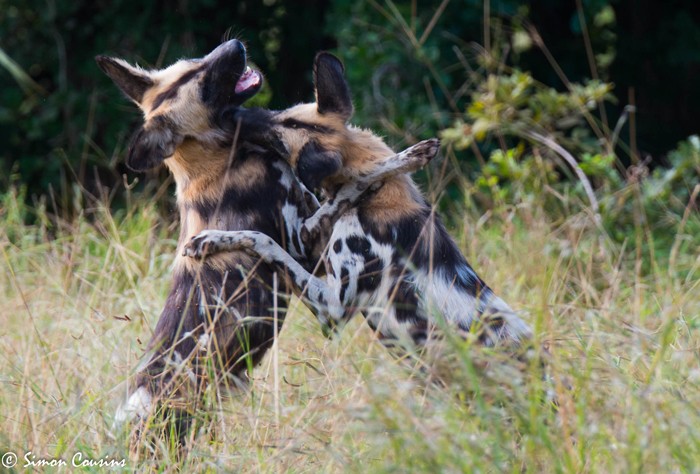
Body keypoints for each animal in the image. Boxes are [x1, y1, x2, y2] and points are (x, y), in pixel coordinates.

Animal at [95, 40, 434, 430]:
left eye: (194, 61)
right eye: (200, 80)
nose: (235, 44)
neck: (220, 162)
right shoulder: (306, 247)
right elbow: (354, 185)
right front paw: (404, 160)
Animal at [183, 52, 532, 352]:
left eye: (277, 140)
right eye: (281, 112)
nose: (232, 114)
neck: (377, 200)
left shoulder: (331, 310)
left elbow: (265, 241)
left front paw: (208, 240)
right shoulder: (314, 253)